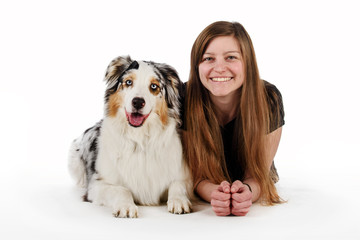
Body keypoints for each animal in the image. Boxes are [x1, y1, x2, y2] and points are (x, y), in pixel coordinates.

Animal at [67, 55, 191, 218]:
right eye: (128, 82)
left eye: (154, 86)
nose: (138, 102)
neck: (140, 140)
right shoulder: (97, 184)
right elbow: (121, 189)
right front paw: (126, 206)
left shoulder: (183, 177)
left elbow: (178, 186)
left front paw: (179, 201)